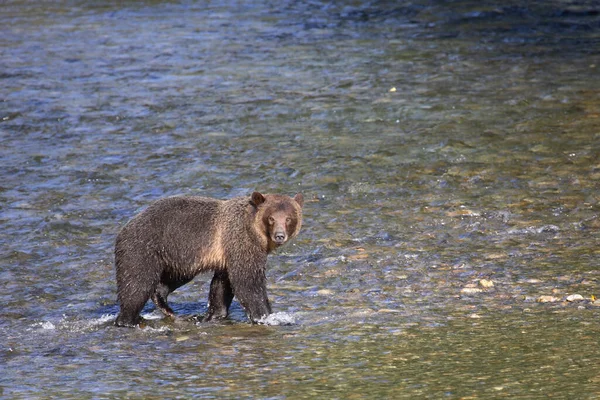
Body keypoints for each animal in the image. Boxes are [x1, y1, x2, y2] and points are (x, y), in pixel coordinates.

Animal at [113, 191, 304, 328]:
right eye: (271, 218)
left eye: (288, 218)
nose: (279, 235)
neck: (257, 234)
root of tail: (124, 227)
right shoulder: (240, 242)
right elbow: (247, 282)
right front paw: (267, 316)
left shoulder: (227, 256)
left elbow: (222, 285)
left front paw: (215, 314)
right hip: (144, 249)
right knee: (136, 284)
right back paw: (128, 319)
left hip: (176, 259)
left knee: (169, 281)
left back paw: (168, 307)